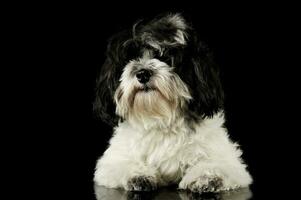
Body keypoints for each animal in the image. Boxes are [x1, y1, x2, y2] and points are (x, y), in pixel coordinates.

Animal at [93, 12, 251, 194]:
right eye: (130, 59)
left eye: (166, 57)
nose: (143, 73)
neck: (161, 118)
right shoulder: (112, 160)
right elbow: (123, 164)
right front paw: (139, 175)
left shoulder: (229, 160)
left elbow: (216, 164)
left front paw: (206, 177)